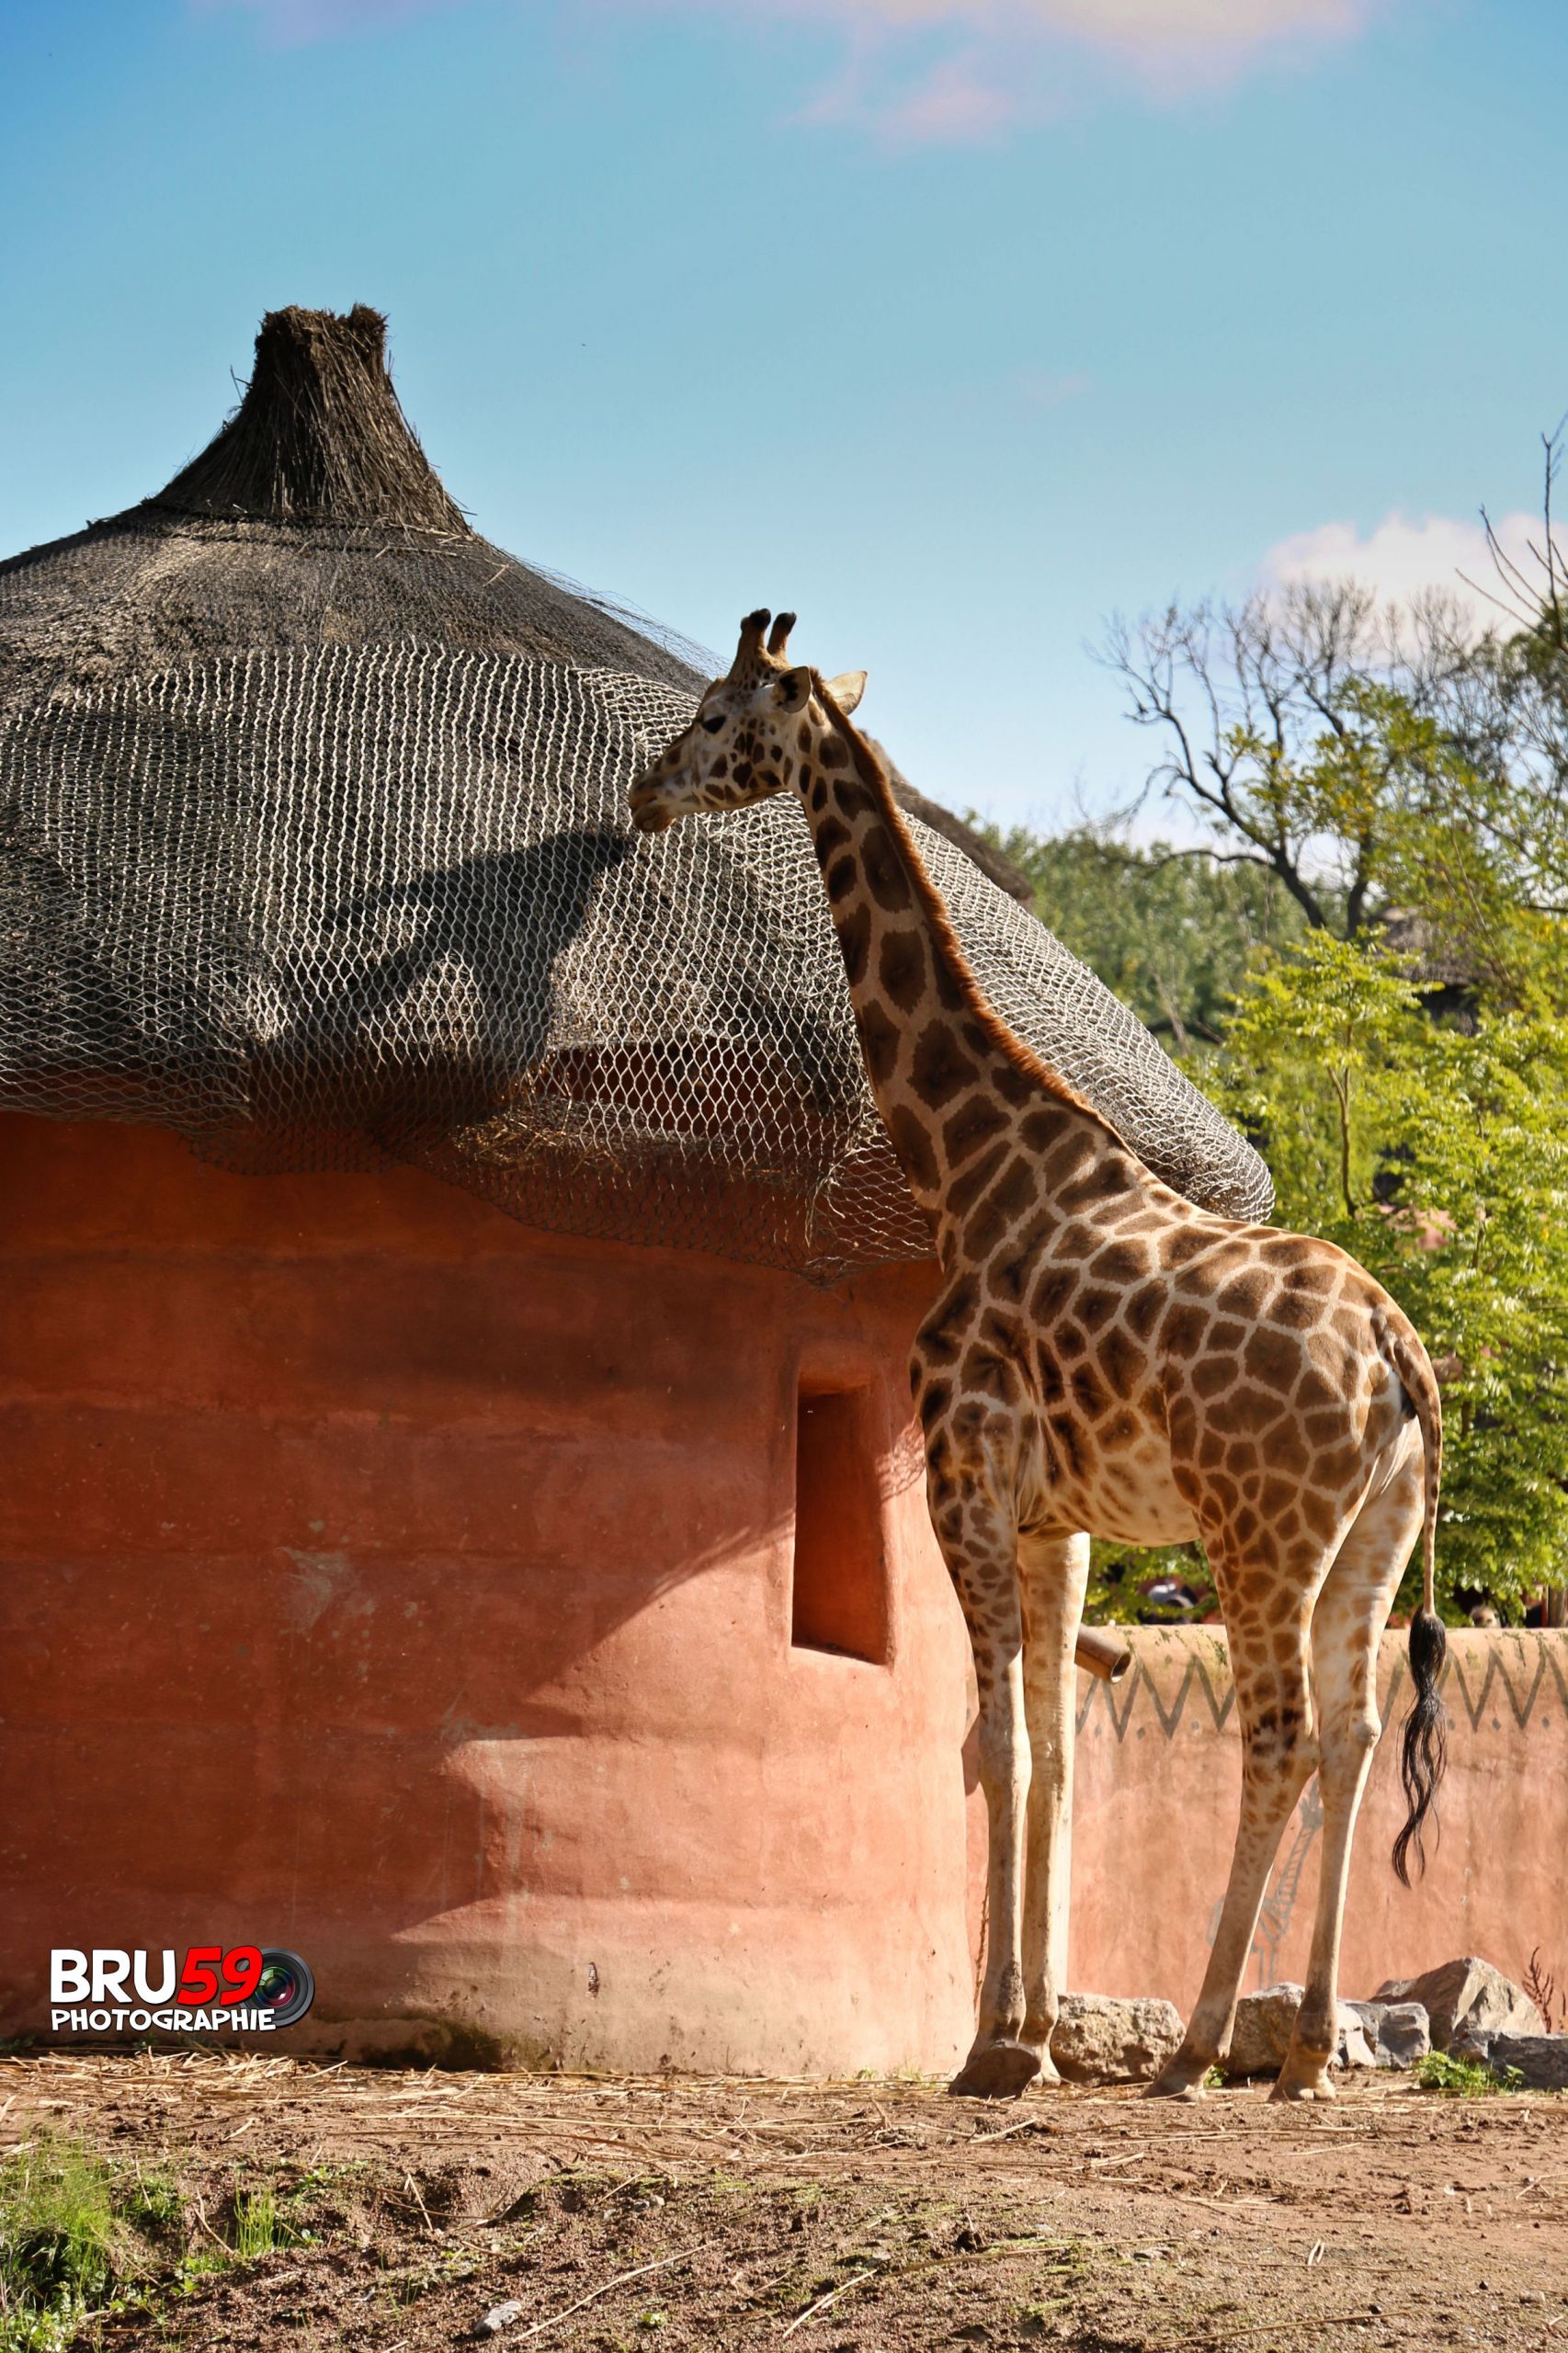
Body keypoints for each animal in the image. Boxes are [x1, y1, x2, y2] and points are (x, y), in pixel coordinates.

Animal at [621, 616, 1440, 2108]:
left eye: (713, 715)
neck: (967, 1170)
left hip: (1258, 1531)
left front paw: (990, 2043)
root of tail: (1394, 1350)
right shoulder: (1060, 1518)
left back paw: (1196, 2045)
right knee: (1353, 1736)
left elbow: (995, 1738)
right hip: (1370, 1537)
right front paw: (1041, 2032)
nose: (645, 794)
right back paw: (1303, 2050)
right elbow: (1056, 1747)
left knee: (1283, 1734)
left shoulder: (964, 1477)